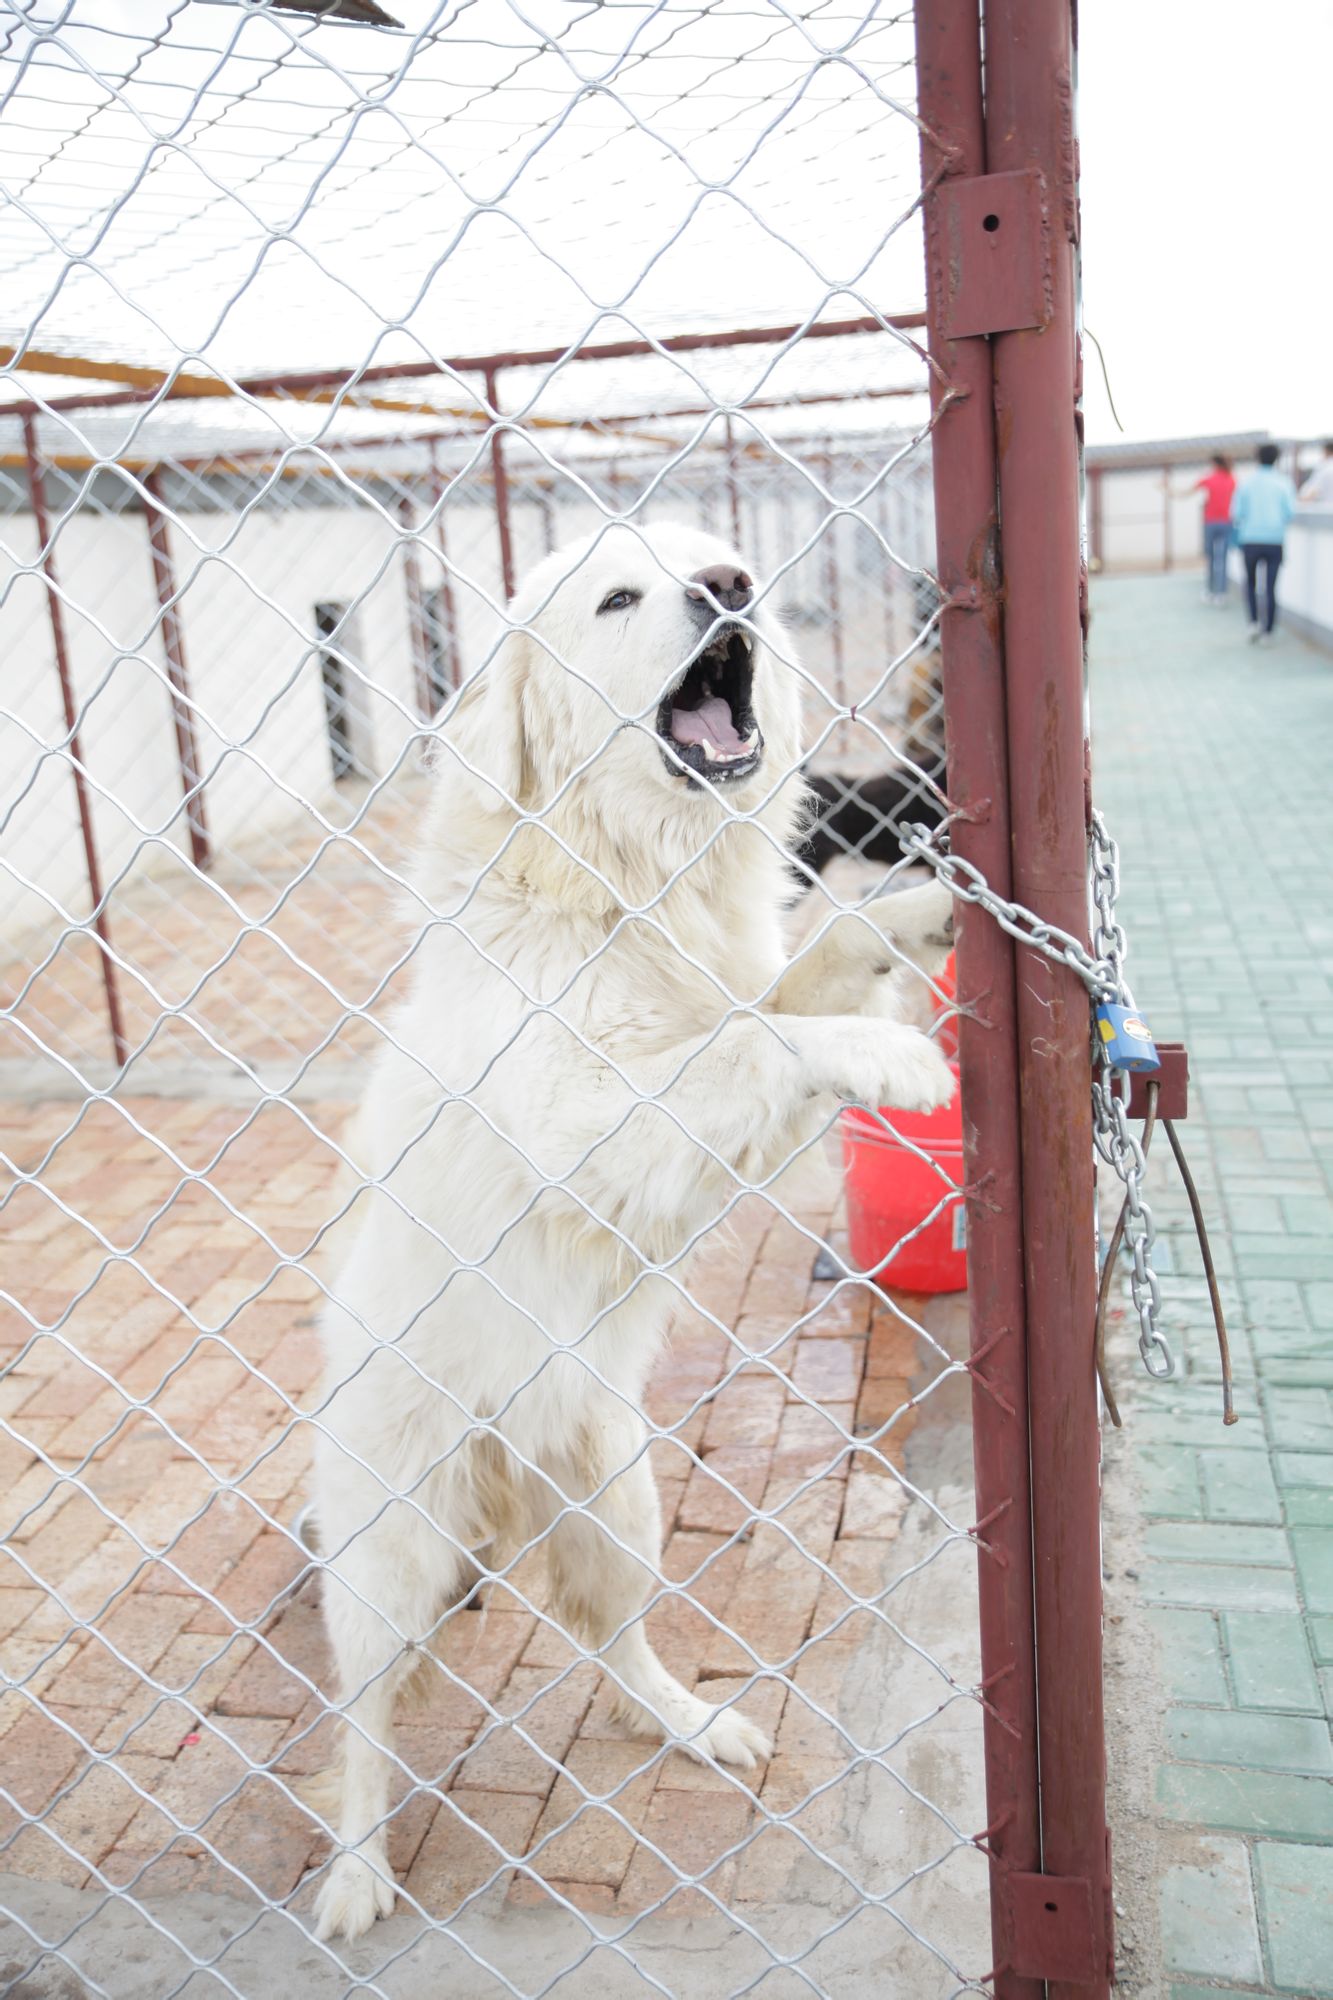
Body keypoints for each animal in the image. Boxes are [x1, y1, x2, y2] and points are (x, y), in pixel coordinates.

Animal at [308, 516, 956, 1936]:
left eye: (712, 560)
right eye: (618, 597)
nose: (731, 589)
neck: (618, 877)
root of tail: (503, 1461)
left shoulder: (725, 1012)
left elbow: (792, 981)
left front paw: (919, 914)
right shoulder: (598, 1116)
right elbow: (764, 1038)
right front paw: (893, 1053)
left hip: (620, 1498)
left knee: (611, 1642)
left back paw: (696, 1724)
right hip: (389, 1558)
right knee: (363, 1717)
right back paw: (355, 1870)